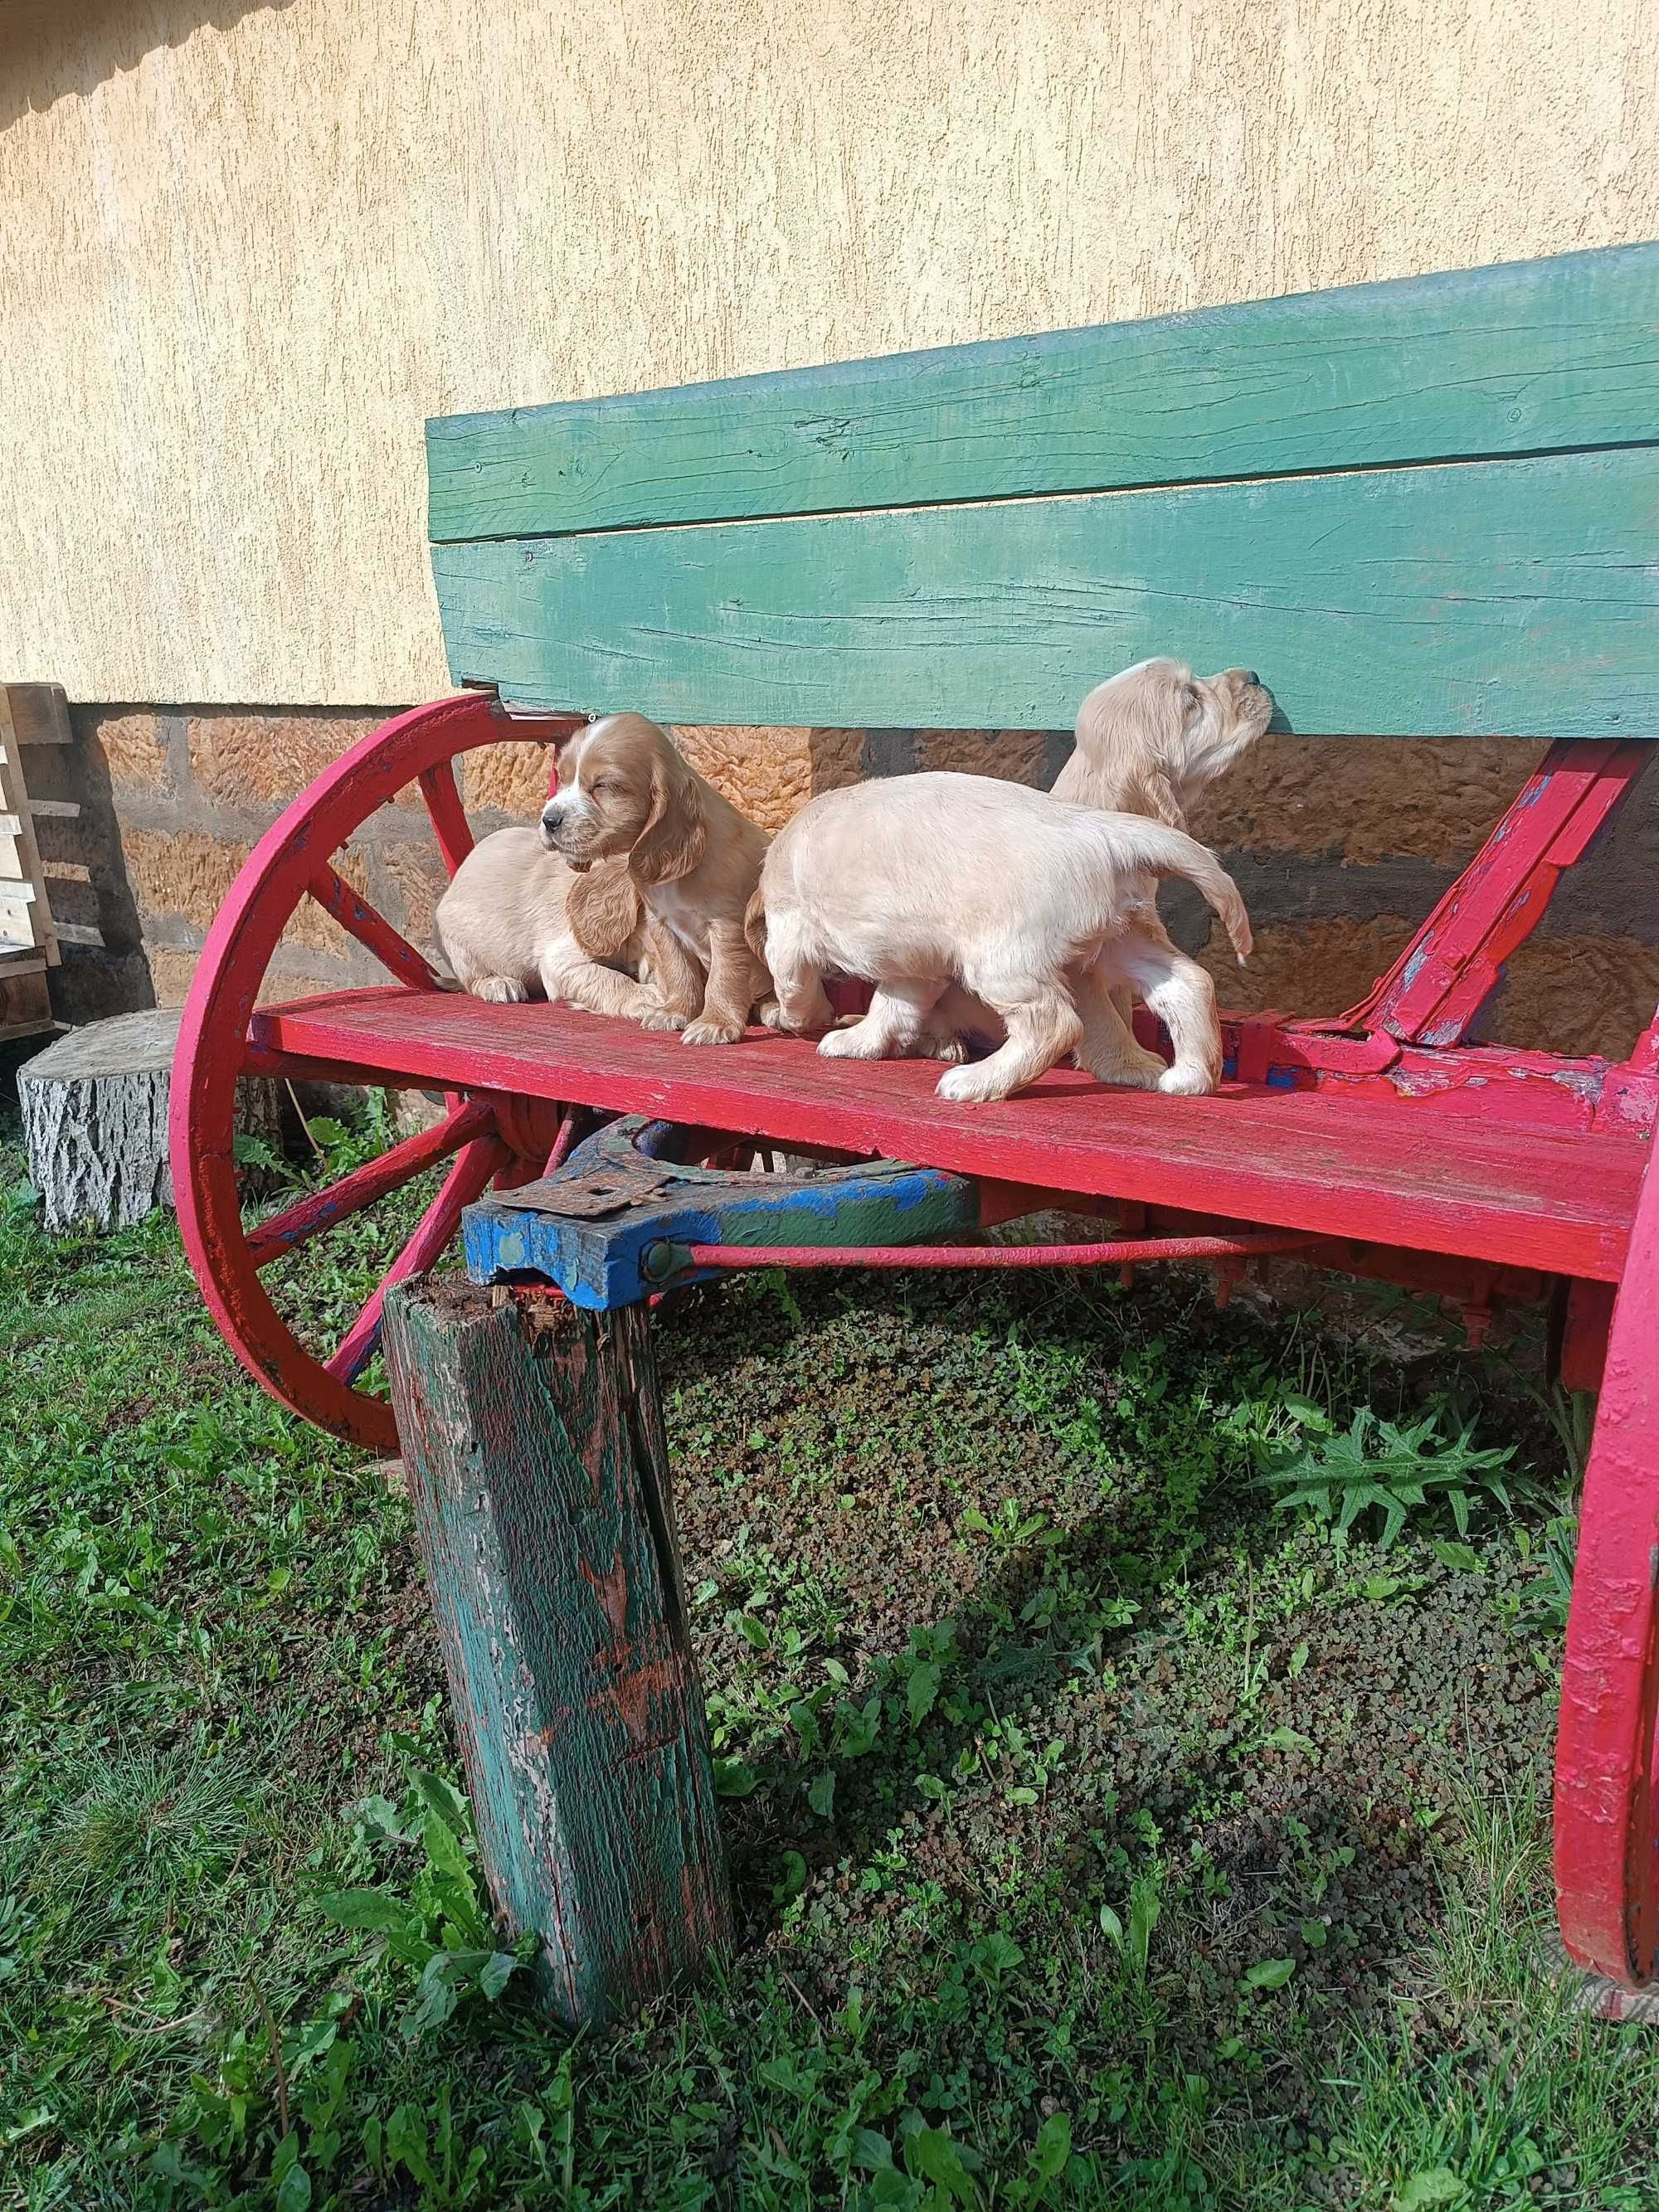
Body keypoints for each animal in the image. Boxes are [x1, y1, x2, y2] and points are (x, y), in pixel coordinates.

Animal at [435, 831, 703, 1030]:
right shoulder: (560, 958)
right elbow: (607, 977)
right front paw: (647, 997)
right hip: (458, 945)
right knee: (472, 980)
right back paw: (499, 984)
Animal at [542, 717, 783, 1043]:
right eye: (563, 779)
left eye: (603, 785)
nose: (548, 820)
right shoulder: (662, 924)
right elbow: (678, 970)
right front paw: (675, 1012)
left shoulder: (728, 927)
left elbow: (724, 977)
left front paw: (715, 1023)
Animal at [752, 774, 1248, 1106]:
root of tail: (1102, 832)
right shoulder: (918, 961)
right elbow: (893, 1006)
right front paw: (858, 1041)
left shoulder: (789, 927)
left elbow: (793, 984)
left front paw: (790, 1018)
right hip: (1116, 938)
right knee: (1185, 984)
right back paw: (1183, 1076)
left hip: (1003, 957)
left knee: (1052, 1022)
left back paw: (975, 1081)